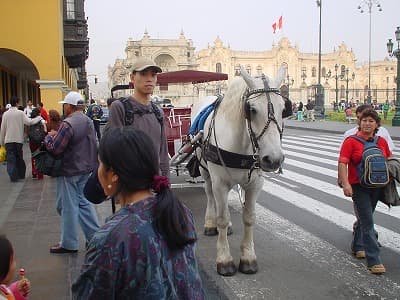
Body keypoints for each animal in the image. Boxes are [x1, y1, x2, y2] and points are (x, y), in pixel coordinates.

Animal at [193, 65, 288, 276]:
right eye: (251, 109)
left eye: (284, 108)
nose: (274, 159)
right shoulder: (219, 182)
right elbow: (222, 217)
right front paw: (224, 259)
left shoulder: (255, 184)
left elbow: (249, 218)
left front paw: (248, 257)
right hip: (206, 172)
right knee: (210, 196)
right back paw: (210, 223)